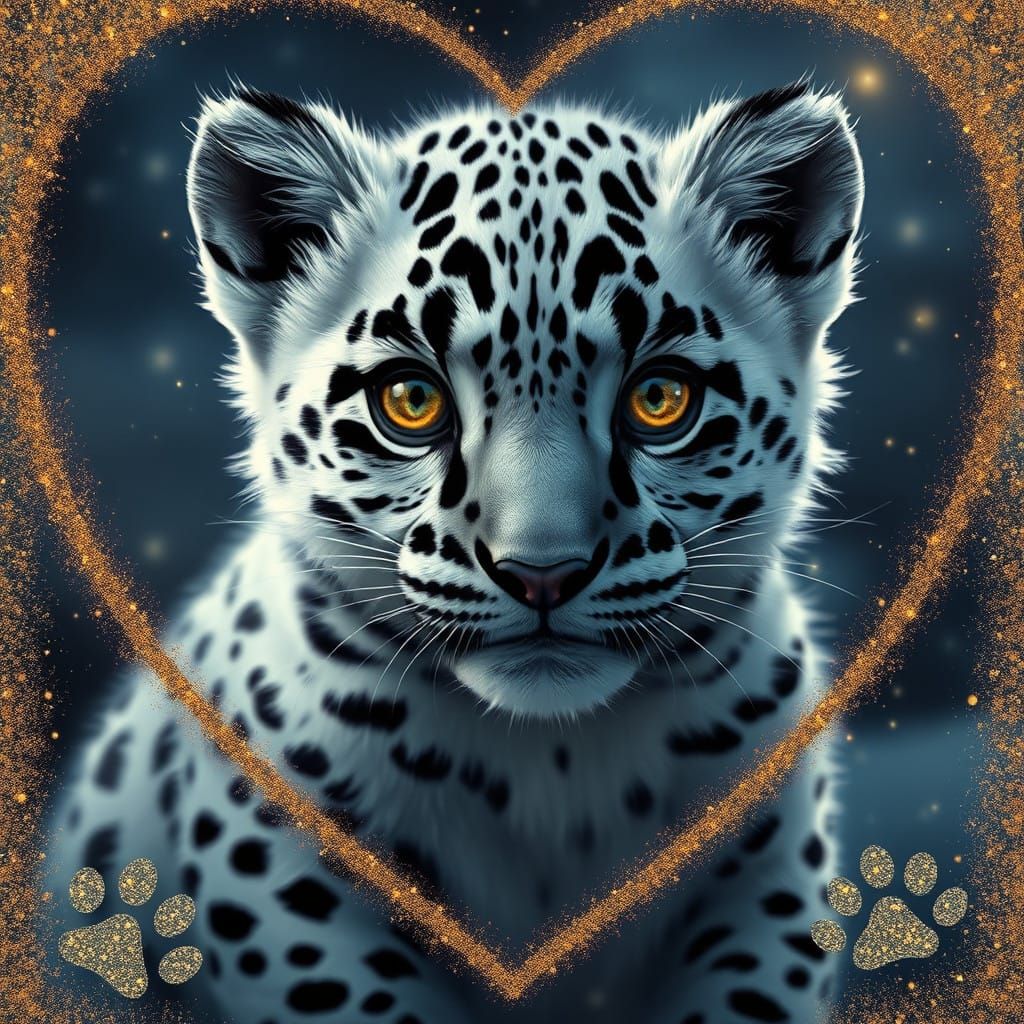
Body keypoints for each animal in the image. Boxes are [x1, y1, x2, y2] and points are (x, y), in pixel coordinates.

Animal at [50, 78, 864, 1023]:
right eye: (410, 400)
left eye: (662, 398)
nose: (542, 573)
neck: (553, 771)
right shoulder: (288, 875)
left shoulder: (764, 883)